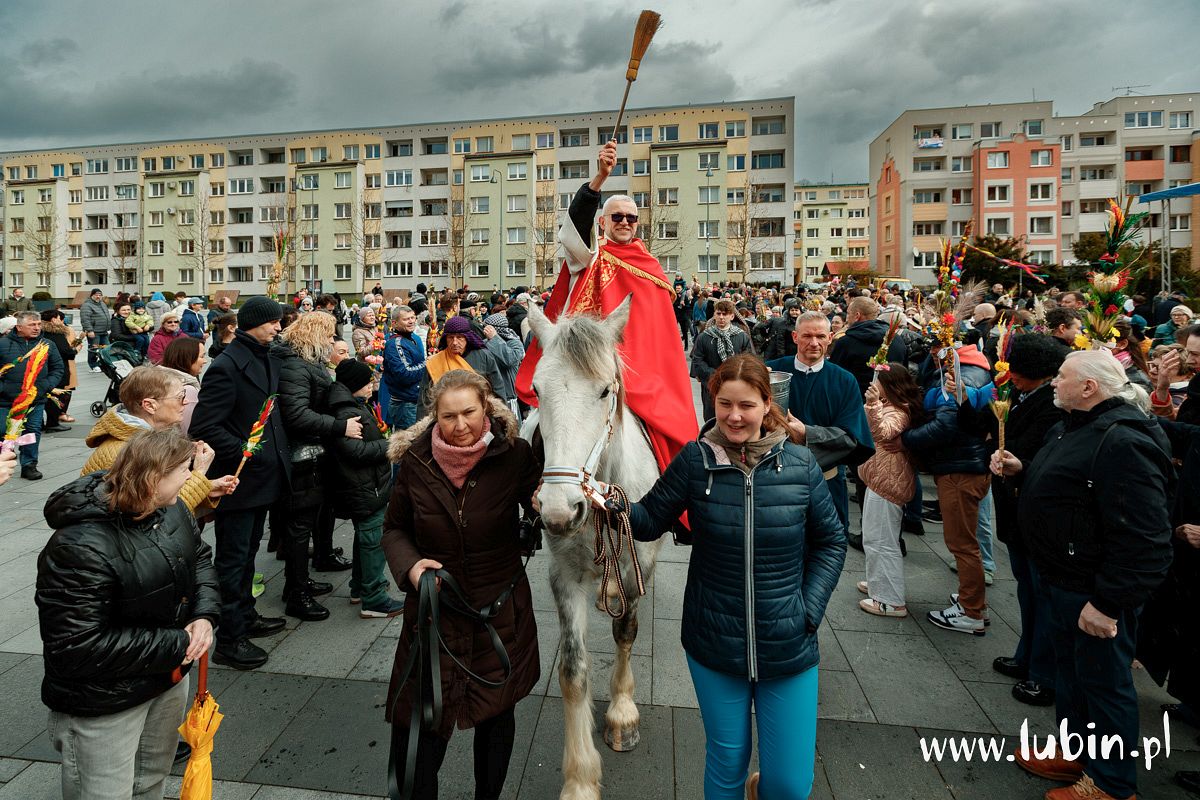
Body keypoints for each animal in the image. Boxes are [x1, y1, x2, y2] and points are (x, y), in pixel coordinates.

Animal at [525, 298, 667, 800]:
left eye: (606, 390)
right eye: (536, 389)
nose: (558, 509)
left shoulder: (636, 567)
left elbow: (626, 632)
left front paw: (622, 715)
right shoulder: (563, 576)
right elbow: (572, 670)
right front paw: (581, 779)